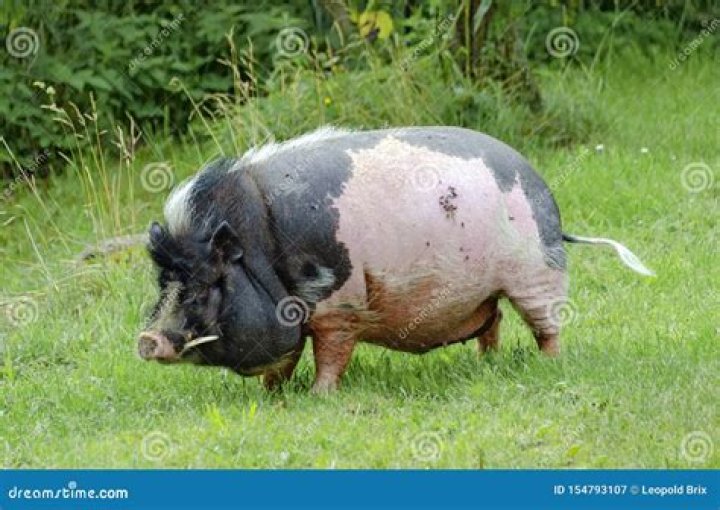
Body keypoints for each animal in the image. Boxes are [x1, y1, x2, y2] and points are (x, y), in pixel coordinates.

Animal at [138, 126, 653, 392]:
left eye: (205, 285)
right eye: (164, 283)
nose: (147, 340)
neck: (261, 248)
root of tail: (543, 188)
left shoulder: (339, 305)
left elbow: (331, 354)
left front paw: (320, 396)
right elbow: (284, 360)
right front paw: (273, 396)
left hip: (537, 273)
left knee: (547, 327)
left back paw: (548, 366)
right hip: (488, 290)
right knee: (494, 323)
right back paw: (488, 365)